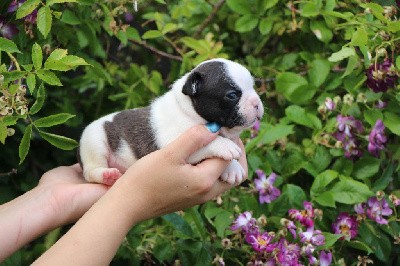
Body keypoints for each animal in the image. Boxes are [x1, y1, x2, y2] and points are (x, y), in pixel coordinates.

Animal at [78, 58, 264, 186]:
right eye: (232, 95)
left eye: (253, 87)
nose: (257, 103)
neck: (189, 112)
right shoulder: (175, 144)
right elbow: (207, 144)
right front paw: (225, 146)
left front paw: (232, 168)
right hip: (93, 142)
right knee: (90, 171)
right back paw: (106, 175)